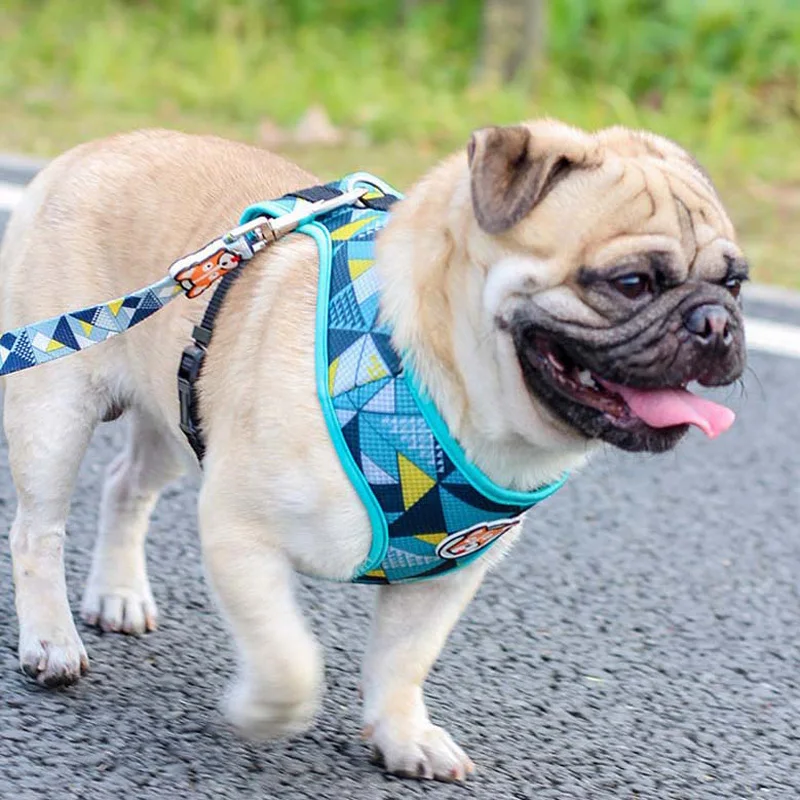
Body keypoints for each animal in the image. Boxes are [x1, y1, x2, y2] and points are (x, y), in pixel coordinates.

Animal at [0, 123, 748, 780]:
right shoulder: (239, 532)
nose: (717, 321)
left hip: (176, 412)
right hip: (55, 408)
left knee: (126, 486)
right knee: (37, 530)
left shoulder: (446, 578)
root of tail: (87, 151)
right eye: (630, 283)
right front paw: (260, 712)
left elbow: (403, 662)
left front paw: (402, 735)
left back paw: (118, 595)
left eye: (736, 282)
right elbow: (289, 660)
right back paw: (52, 641)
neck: (430, 383)